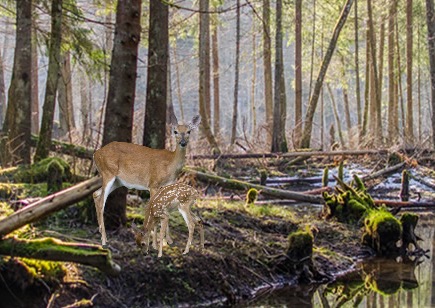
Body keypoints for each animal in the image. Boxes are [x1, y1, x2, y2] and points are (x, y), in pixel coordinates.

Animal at [93, 114, 201, 247]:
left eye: (189, 131)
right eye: (175, 131)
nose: (182, 142)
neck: (170, 164)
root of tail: (96, 154)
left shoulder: (167, 186)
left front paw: (168, 241)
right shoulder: (153, 183)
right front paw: (155, 243)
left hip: (117, 181)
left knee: (96, 194)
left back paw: (101, 233)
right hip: (108, 172)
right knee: (101, 201)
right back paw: (104, 239)